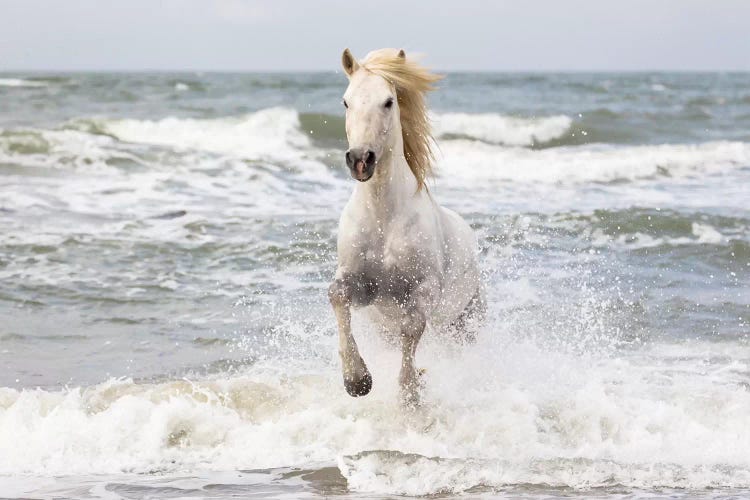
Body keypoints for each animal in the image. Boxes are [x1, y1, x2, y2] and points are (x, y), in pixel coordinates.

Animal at [330, 47, 488, 402]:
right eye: (346, 101)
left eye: (388, 101)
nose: (360, 160)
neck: (383, 220)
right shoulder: (360, 285)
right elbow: (337, 296)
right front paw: (356, 380)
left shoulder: (423, 289)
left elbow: (412, 329)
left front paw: (411, 392)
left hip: (465, 323)